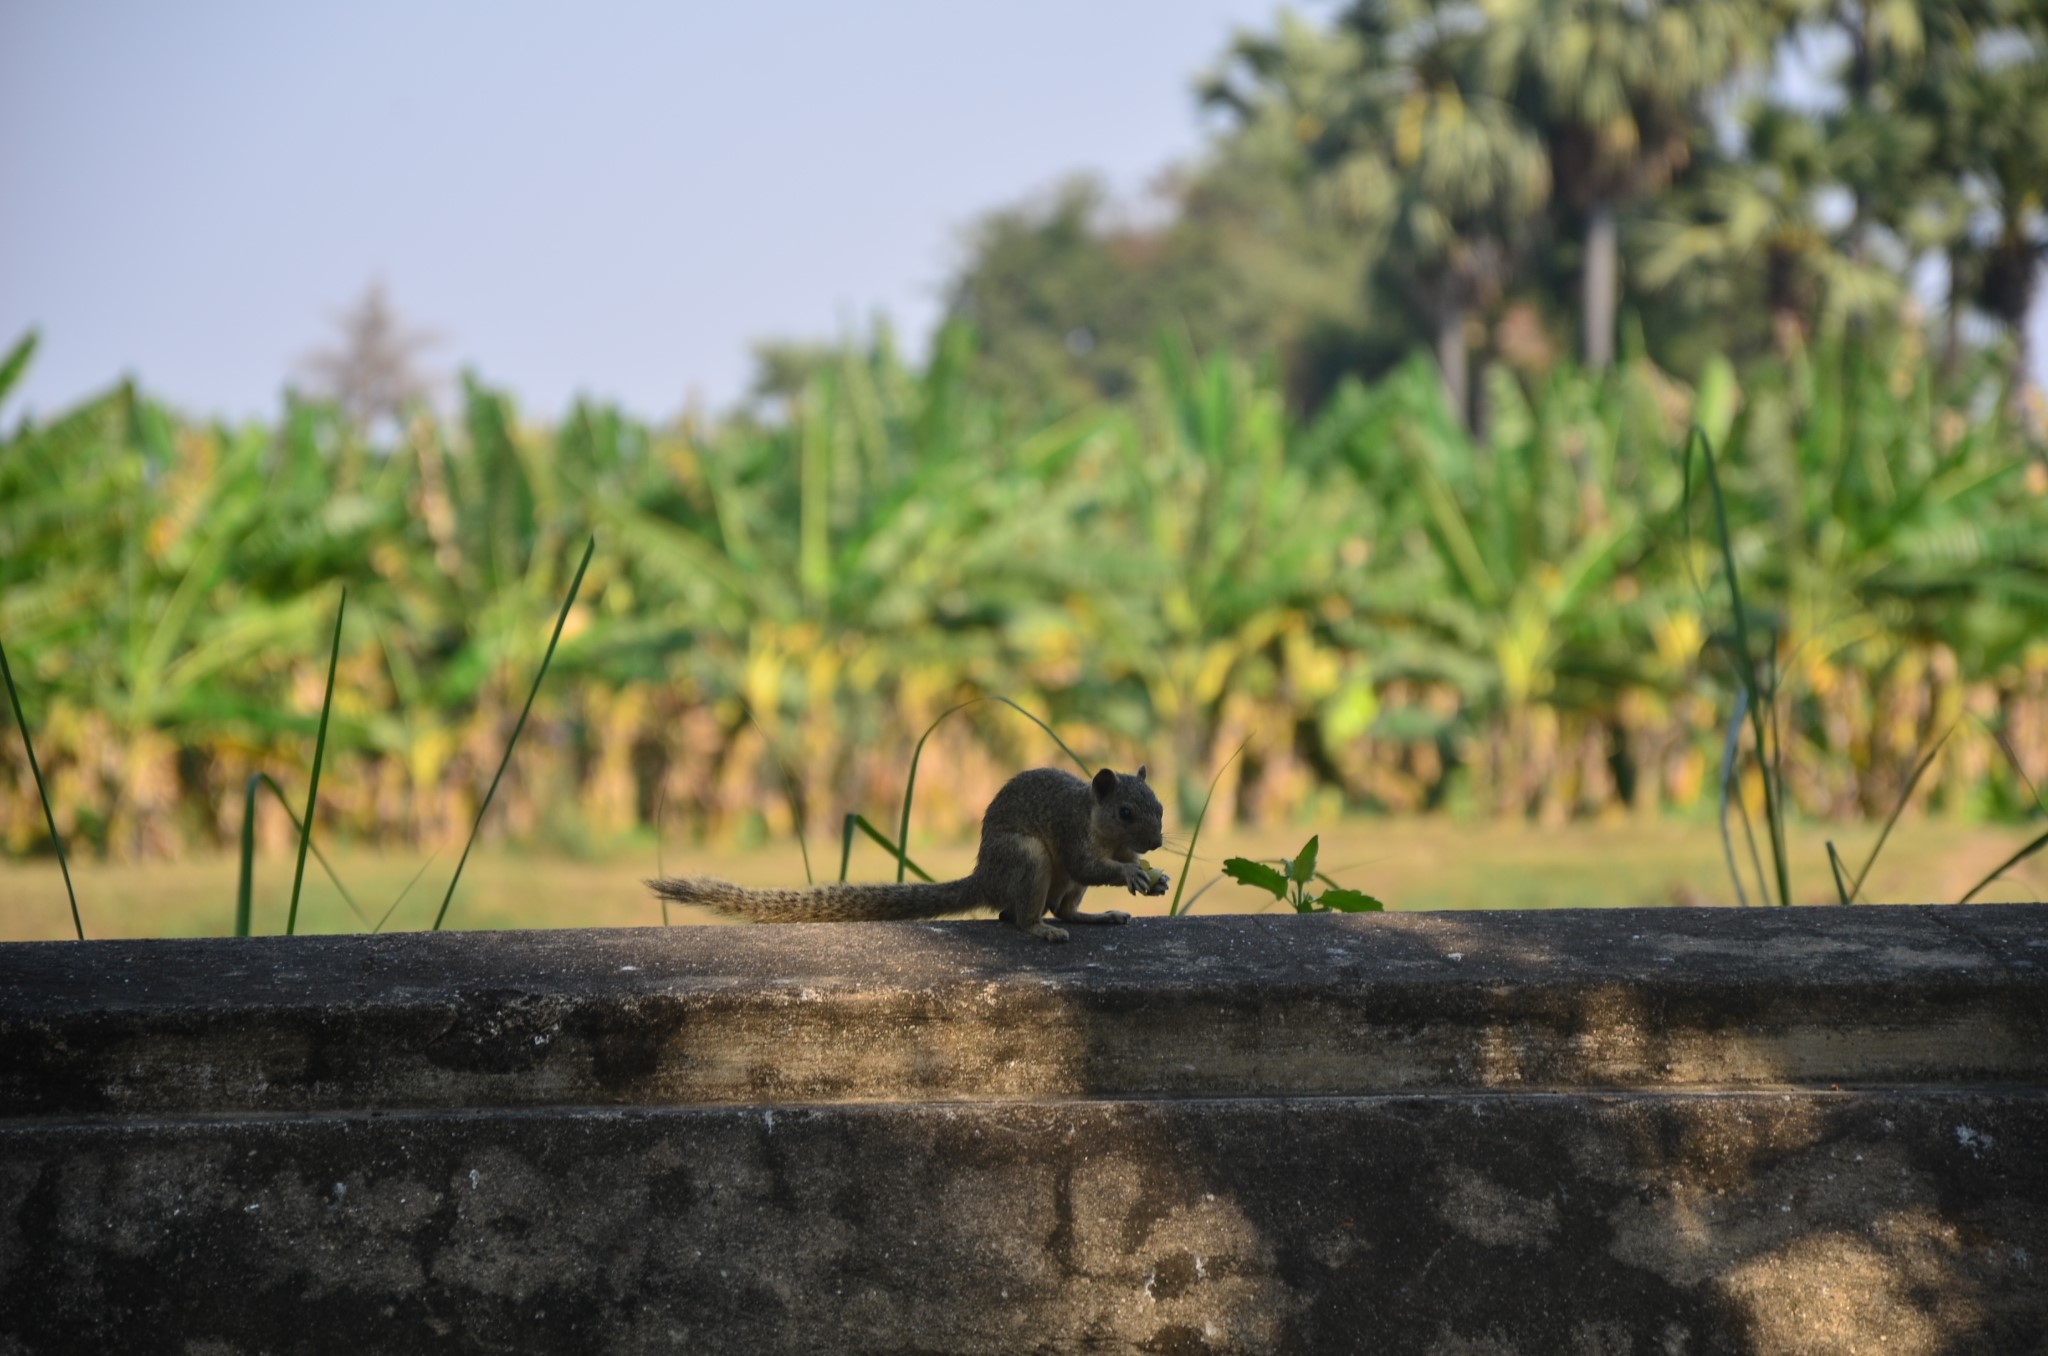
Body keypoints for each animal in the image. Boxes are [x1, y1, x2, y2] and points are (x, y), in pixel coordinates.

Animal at [647, 766, 1179, 946]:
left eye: (1160, 807)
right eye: (1126, 811)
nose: (1155, 843)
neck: (1097, 821)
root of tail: (985, 876)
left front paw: (1154, 876)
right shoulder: (1072, 833)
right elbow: (1091, 863)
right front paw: (1132, 873)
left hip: (1058, 882)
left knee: (1062, 907)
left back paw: (1097, 916)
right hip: (1028, 860)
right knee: (1021, 915)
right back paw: (1042, 929)